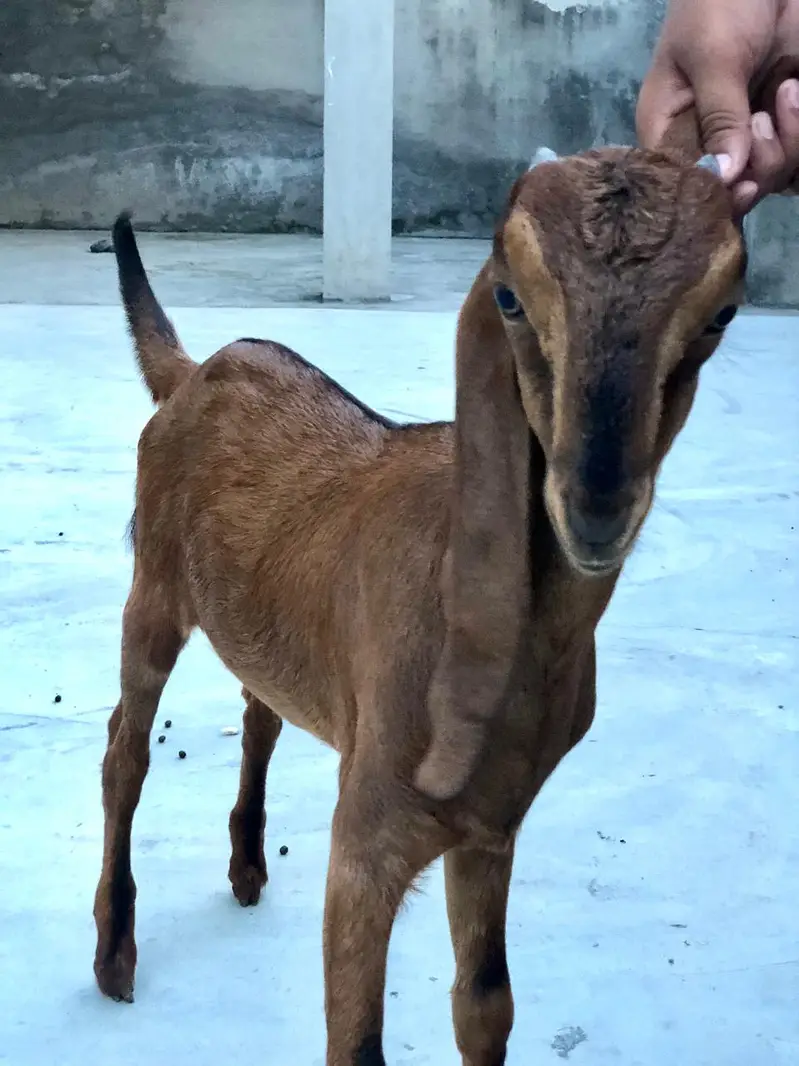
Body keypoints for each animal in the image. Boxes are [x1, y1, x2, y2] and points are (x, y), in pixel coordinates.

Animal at [94, 140, 747, 1063]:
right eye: (507, 295)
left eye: (721, 312)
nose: (592, 504)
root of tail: (191, 373)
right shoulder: (367, 839)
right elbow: (357, 1041)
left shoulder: (488, 829)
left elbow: (485, 1004)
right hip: (152, 585)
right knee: (126, 748)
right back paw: (115, 953)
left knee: (259, 712)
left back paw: (247, 865)